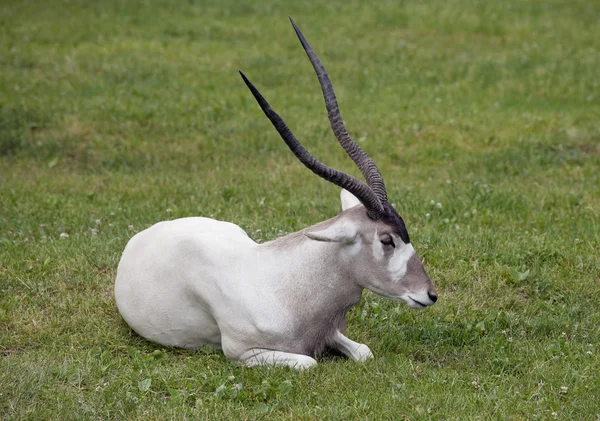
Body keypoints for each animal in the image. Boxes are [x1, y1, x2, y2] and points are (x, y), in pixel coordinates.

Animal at [115, 18, 438, 368]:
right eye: (386, 240)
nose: (430, 294)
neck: (285, 285)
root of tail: (143, 235)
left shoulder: (328, 333)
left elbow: (365, 352)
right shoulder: (243, 354)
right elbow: (310, 362)